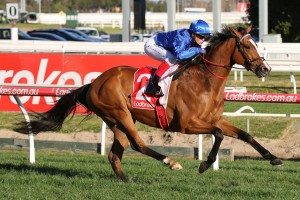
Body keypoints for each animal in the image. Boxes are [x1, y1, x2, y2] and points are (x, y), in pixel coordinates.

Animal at [14, 24, 284, 180]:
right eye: (247, 45)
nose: (266, 69)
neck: (205, 81)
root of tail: (93, 83)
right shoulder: (186, 124)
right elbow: (217, 134)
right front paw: (205, 164)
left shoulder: (214, 118)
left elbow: (244, 135)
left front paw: (274, 158)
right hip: (120, 114)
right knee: (138, 144)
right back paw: (171, 162)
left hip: (117, 121)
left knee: (115, 154)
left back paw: (126, 180)